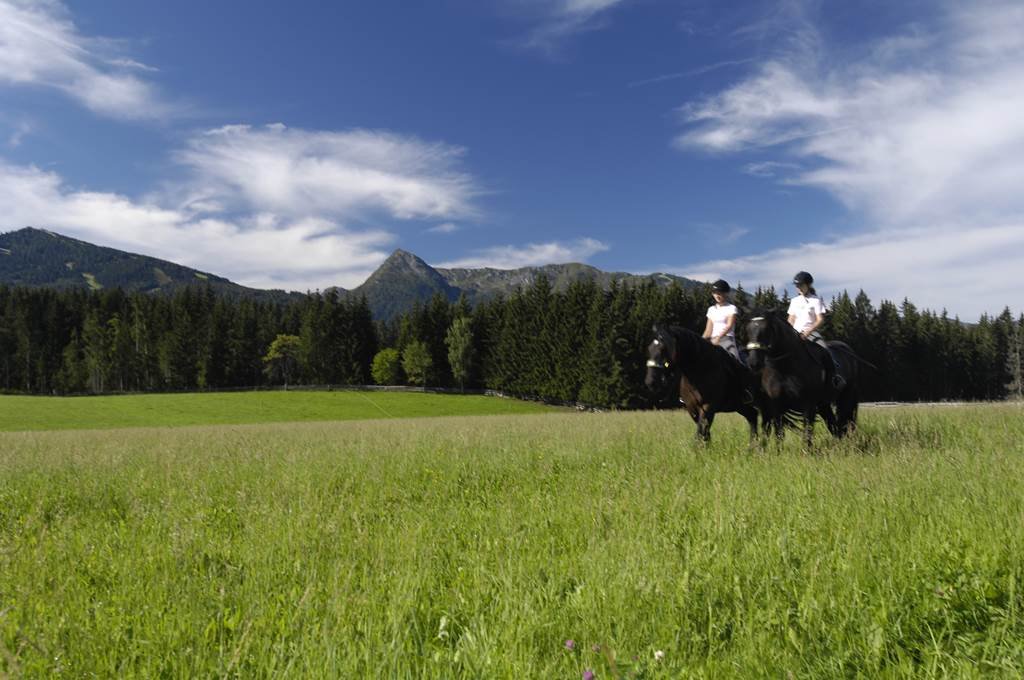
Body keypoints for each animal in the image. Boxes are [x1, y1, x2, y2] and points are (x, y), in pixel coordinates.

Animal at [745, 309, 864, 446]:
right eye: (748, 330)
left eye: (766, 330)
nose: (753, 363)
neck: (785, 369)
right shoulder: (776, 406)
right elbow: (779, 433)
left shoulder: (808, 404)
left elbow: (807, 431)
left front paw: (806, 450)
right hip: (823, 404)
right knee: (834, 425)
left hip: (846, 397)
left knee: (846, 421)